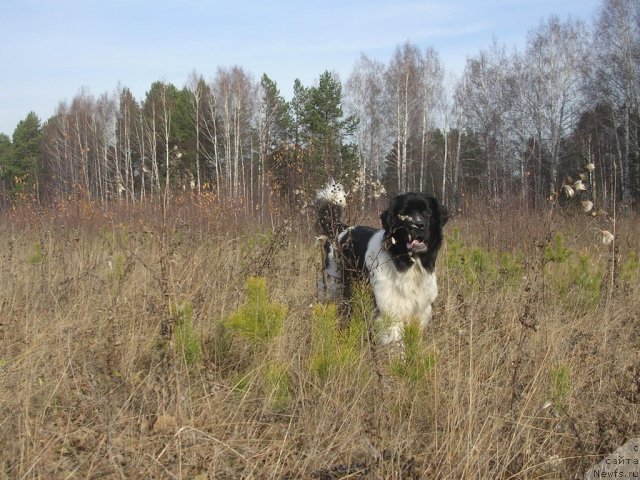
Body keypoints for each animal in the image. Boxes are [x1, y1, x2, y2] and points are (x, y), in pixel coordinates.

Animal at [316, 181, 448, 344]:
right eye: (403, 215)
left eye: (427, 213)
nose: (418, 225)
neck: (406, 265)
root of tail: (341, 228)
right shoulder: (389, 312)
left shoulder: (419, 312)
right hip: (333, 285)